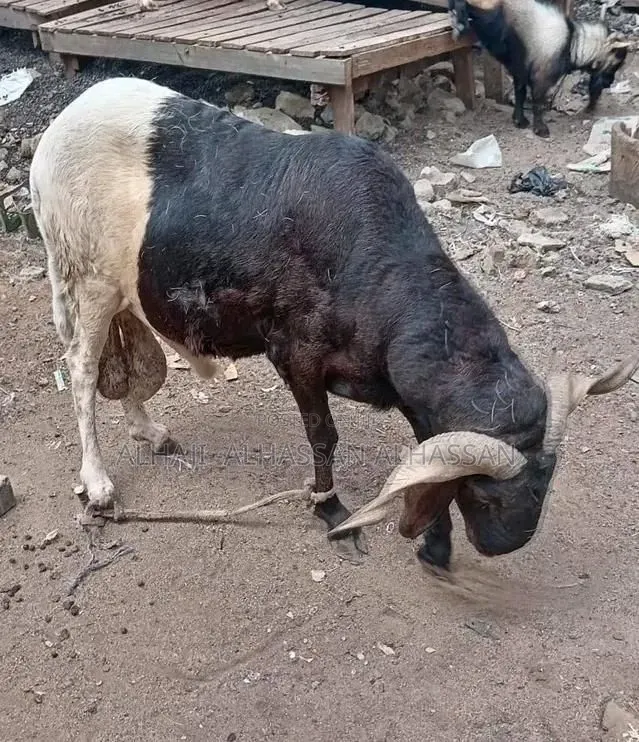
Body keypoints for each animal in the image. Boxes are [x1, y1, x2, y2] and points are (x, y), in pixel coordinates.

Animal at [30, 77, 639, 569]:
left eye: (548, 483)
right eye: (487, 494)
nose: (505, 545)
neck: (369, 264)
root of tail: (52, 137)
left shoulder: (405, 390)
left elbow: (425, 446)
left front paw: (435, 544)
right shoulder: (296, 355)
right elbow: (323, 436)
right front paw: (332, 512)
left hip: (121, 291)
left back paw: (149, 431)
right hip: (86, 279)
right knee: (83, 371)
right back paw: (98, 482)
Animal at [448, 0, 631, 137]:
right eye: (616, 59)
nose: (609, 83)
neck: (573, 44)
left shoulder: (521, 70)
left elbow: (520, 94)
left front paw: (519, 120)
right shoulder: (542, 76)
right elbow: (538, 102)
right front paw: (540, 129)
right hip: (489, 17)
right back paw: (460, 21)